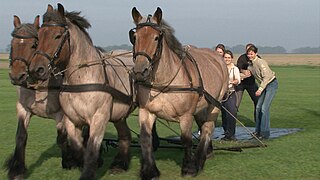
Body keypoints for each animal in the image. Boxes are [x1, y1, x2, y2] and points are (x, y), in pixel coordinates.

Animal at [28, 3, 136, 179]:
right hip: (120, 113)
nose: (36, 70)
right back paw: (119, 164)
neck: (82, 78)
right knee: (125, 135)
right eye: (39, 36)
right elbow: (78, 146)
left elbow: (91, 148)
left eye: (58, 36)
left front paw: (88, 171)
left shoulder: (99, 118)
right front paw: (88, 162)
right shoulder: (71, 119)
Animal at [129, 7, 229, 179]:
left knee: (207, 128)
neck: (164, 82)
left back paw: (199, 159)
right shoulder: (146, 111)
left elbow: (186, 139)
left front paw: (189, 168)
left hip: (215, 104)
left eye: (156, 38)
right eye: (135, 37)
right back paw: (208, 152)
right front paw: (149, 171)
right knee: (203, 124)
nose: (140, 72)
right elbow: (146, 138)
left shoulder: (186, 115)